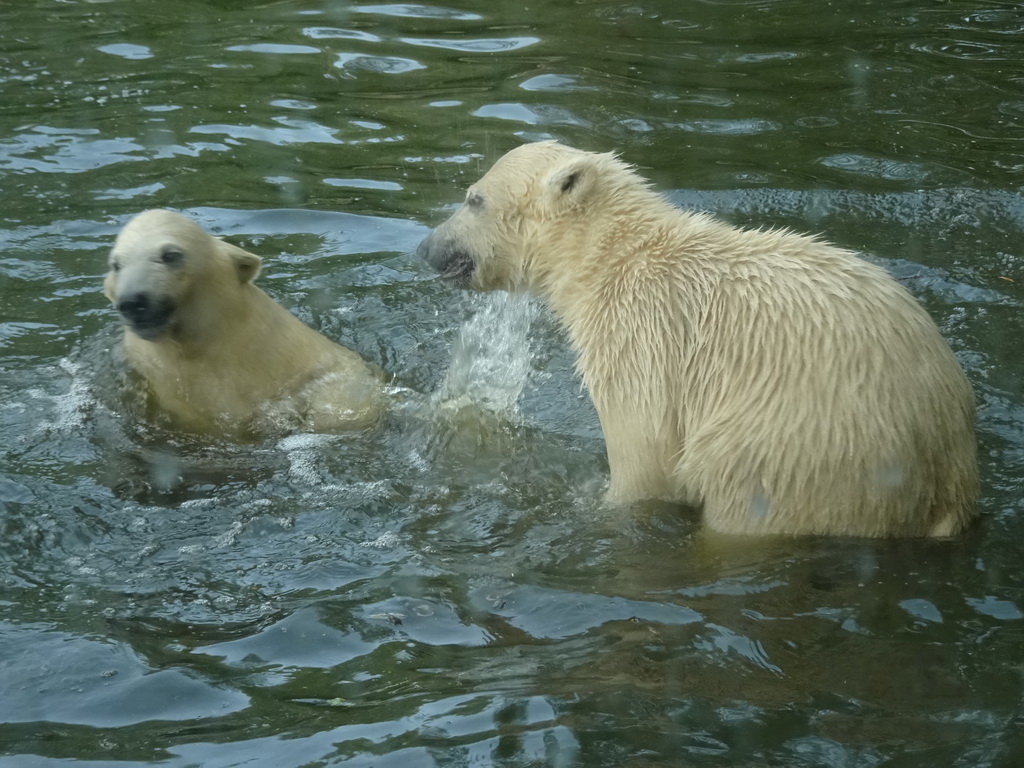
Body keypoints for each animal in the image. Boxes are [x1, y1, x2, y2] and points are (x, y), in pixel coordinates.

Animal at [419, 143, 978, 540]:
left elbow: (646, 456)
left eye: (474, 198)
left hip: (798, 455)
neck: (613, 259)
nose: (425, 247)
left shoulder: (640, 336)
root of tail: (946, 476)